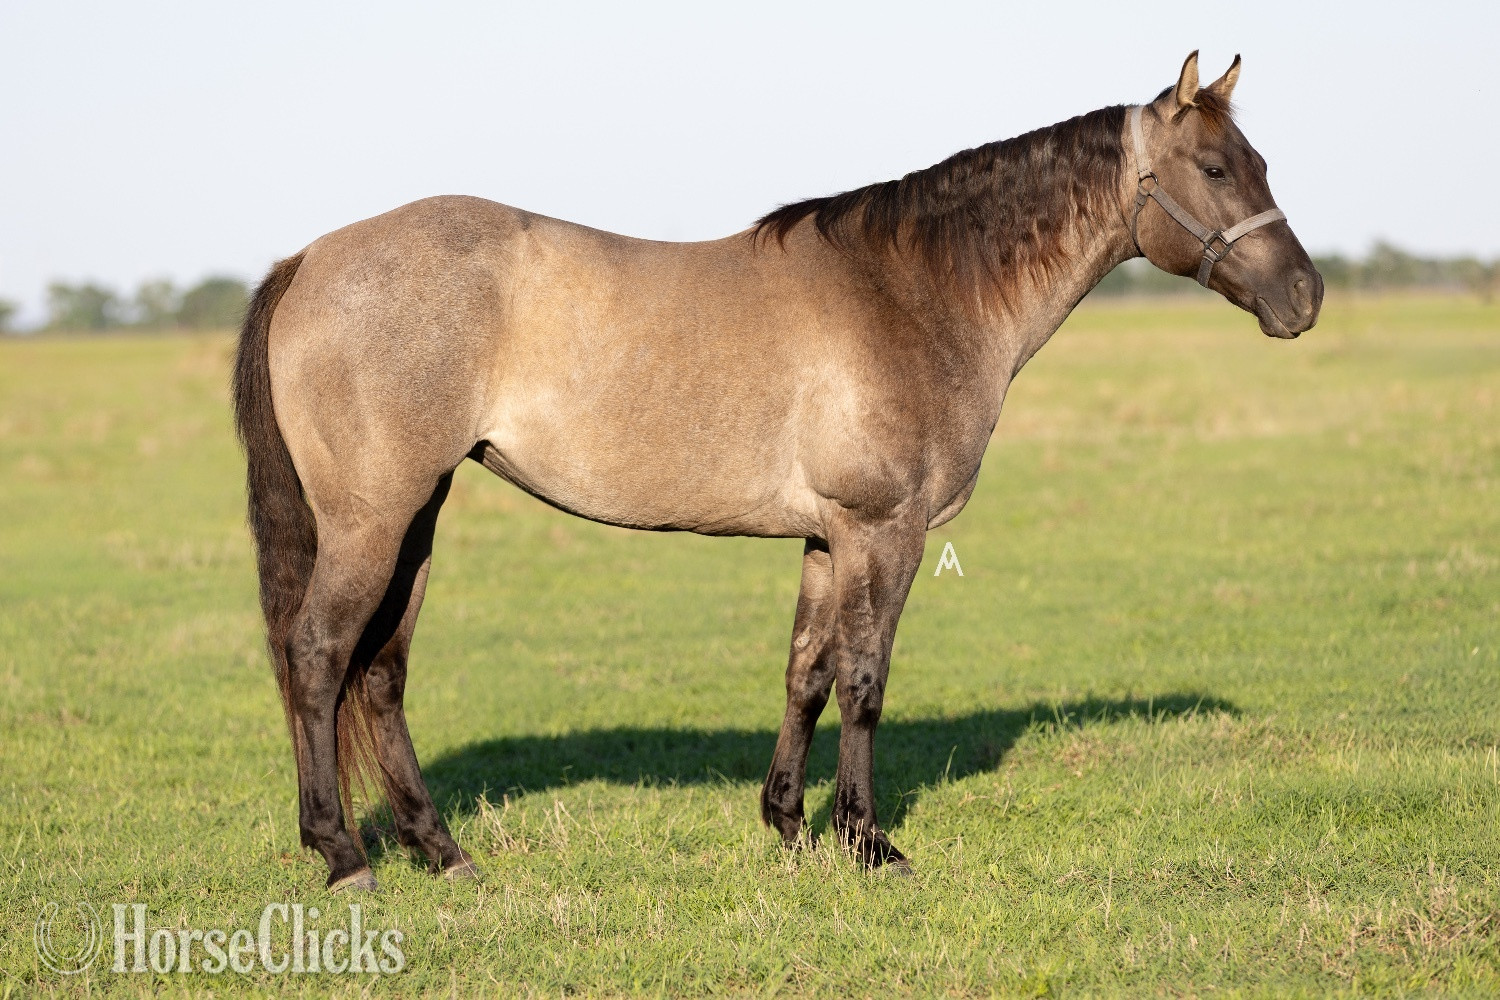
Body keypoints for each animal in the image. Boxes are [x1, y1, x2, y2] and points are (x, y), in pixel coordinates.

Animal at [233, 51, 1322, 891]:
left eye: (1261, 162)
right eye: (1216, 167)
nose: (1305, 297)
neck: (912, 292)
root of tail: (310, 260)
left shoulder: (825, 536)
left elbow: (806, 671)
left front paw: (790, 823)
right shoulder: (883, 530)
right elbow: (866, 679)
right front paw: (869, 841)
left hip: (415, 518)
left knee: (379, 672)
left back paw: (439, 850)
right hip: (372, 520)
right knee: (319, 655)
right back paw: (344, 856)